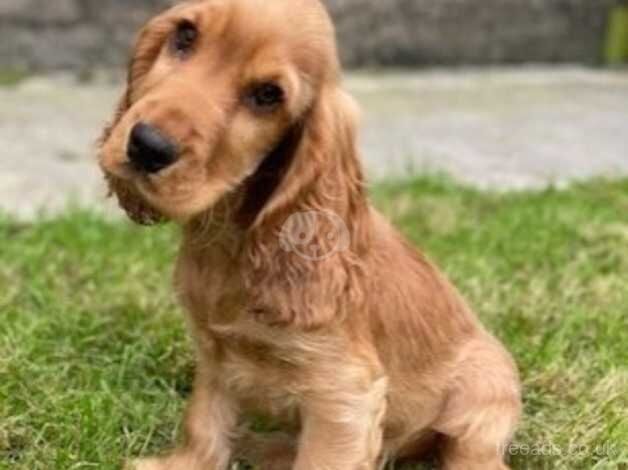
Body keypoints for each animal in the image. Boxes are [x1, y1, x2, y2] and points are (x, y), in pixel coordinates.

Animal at [98, 0, 520, 470]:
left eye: (268, 95)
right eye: (185, 36)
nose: (147, 146)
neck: (231, 240)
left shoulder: (343, 390)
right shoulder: (216, 355)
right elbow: (205, 422)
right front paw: (185, 463)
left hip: (484, 393)